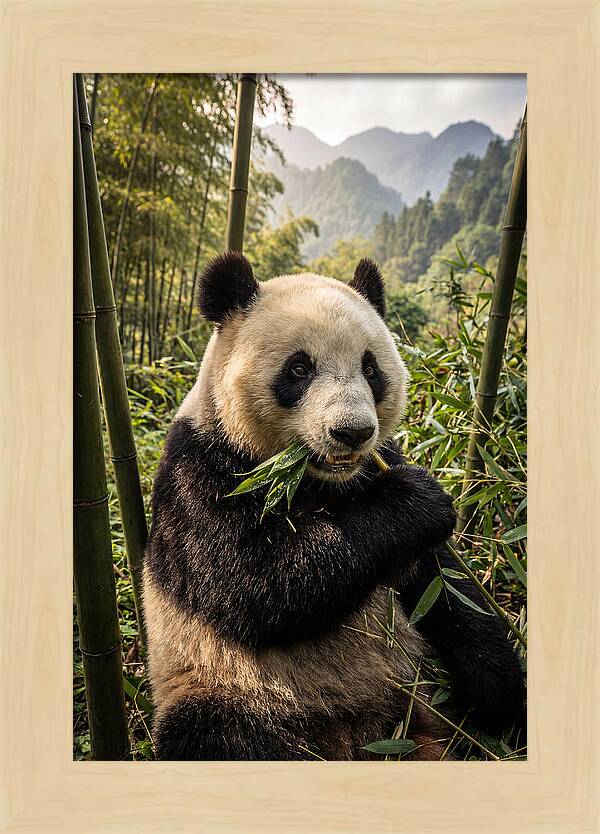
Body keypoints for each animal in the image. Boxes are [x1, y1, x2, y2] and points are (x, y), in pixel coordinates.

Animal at [143, 251, 525, 761]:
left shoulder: (379, 469)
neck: (317, 481)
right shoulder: (201, 471)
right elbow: (255, 583)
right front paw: (417, 500)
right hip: (225, 685)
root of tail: (360, 736)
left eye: (370, 368)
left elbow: (446, 588)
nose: (352, 432)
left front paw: (498, 693)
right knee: (217, 736)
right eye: (299, 369)